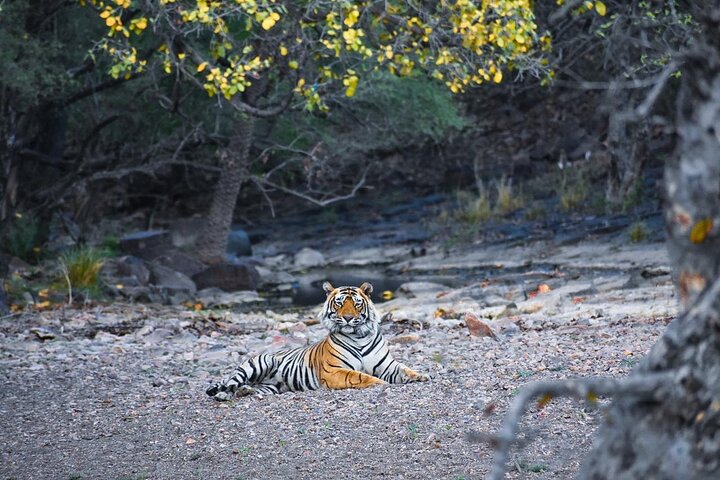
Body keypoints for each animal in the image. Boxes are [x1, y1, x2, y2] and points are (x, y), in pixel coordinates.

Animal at [206, 281, 429, 400]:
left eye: (356, 304)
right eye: (339, 303)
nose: (348, 318)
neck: (359, 335)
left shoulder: (387, 365)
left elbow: (405, 369)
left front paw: (421, 376)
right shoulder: (334, 371)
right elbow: (359, 376)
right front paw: (379, 383)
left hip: (270, 387)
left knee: (250, 388)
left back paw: (246, 391)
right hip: (258, 363)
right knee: (229, 384)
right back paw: (225, 394)